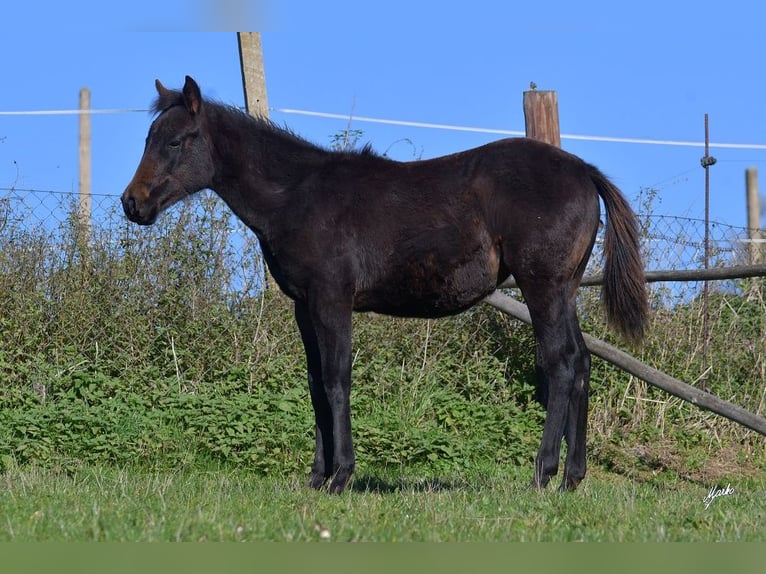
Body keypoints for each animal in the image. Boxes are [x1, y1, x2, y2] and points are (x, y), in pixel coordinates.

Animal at [123, 76, 652, 498]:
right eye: (148, 137)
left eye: (177, 141)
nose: (133, 203)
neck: (297, 195)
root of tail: (584, 171)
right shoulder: (304, 307)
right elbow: (314, 383)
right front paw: (316, 477)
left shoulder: (331, 301)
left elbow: (336, 380)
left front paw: (341, 476)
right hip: (565, 289)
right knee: (582, 362)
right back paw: (573, 478)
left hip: (543, 286)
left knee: (561, 364)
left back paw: (543, 474)